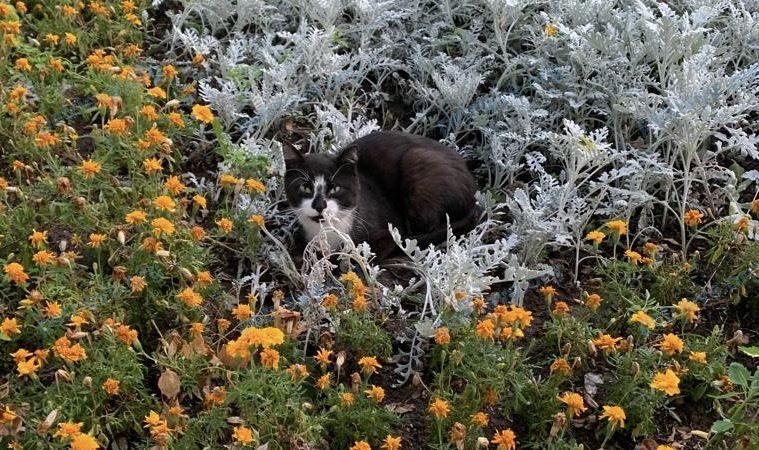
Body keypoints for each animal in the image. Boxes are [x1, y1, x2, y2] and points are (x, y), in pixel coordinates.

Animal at [282, 129, 478, 260]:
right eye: (305, 188)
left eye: (335, 189)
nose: (319, 205)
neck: (327, 232)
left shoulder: (390, 230)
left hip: (418, 165)